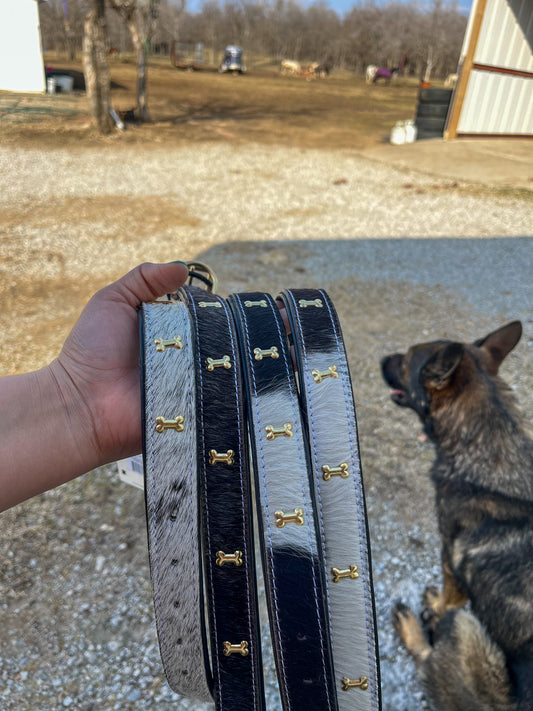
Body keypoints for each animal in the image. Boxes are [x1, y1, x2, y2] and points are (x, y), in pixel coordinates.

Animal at [380, 322, 532, 711]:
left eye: (406, 361)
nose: (383, 358)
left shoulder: (450, 554)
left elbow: (450, 598)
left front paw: (435, 608)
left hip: (466, 629)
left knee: (429, 663)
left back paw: (412, 629)